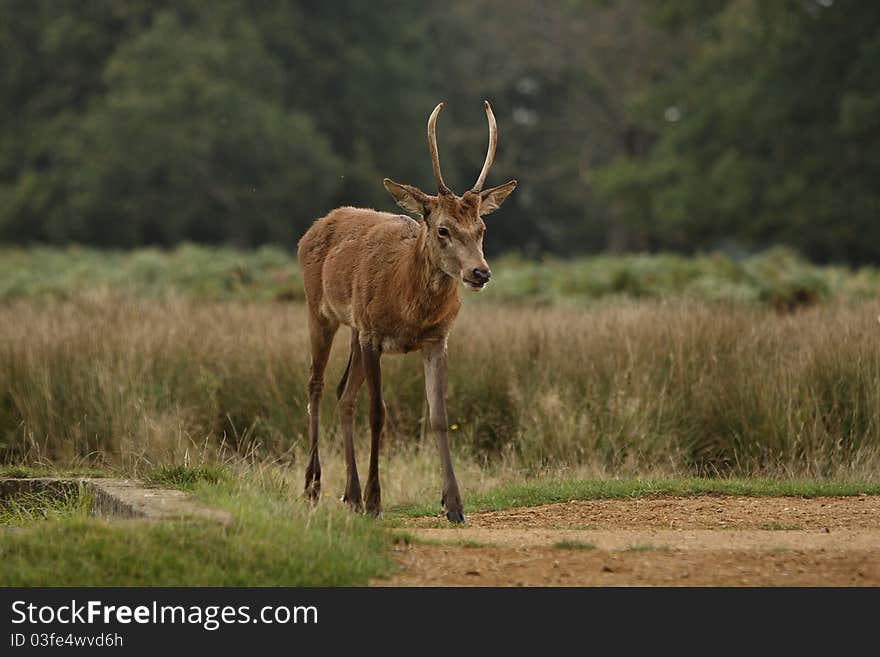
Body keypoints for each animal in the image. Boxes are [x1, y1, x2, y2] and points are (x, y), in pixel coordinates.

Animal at [298, 101, 516, 524]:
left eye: (482, 227)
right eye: (443, 229)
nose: (480, 272)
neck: (408, 307)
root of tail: (314, 226)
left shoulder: (436, 339)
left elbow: (439, 415)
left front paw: (454, 504)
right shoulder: (373, 334)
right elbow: (378, 413)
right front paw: (376, 500)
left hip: (353, 328)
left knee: (343, 393)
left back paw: (349, 494)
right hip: (320, 310)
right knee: (316, 384)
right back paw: (313, 486)